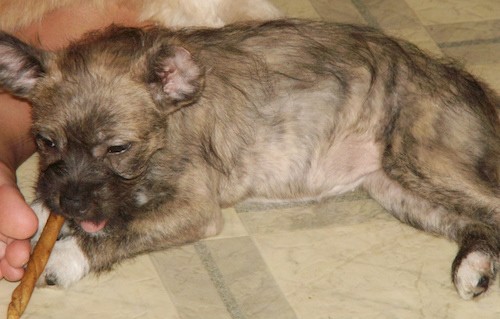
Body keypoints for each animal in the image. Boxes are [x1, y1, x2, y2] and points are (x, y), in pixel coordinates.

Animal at [0, 20, 500, 300]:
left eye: (119, 149)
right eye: (45, 141)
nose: (71, 205)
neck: (170, 124)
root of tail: (465, 82)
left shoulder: (196, 210)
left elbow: (124, 227)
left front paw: (63, 257)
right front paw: (37, 217)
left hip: (420, 162)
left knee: (490, 206)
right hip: (399, 190)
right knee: (478, 220)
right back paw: (475, 266)